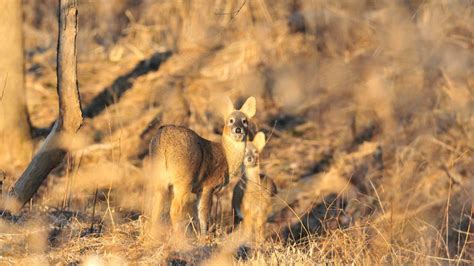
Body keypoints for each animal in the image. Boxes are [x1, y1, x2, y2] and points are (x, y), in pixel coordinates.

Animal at [148, 95, 258, 235]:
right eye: (231, 120)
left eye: (245, 121)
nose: (238, 129)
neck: (226, 157)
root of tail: (164, 138)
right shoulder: (208, 185)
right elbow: (204, 214)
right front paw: (204, 236)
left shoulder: (199, 189)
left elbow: (198, 213)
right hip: (183, 178)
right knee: (175, 209)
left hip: (159, 176)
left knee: (155, 208)